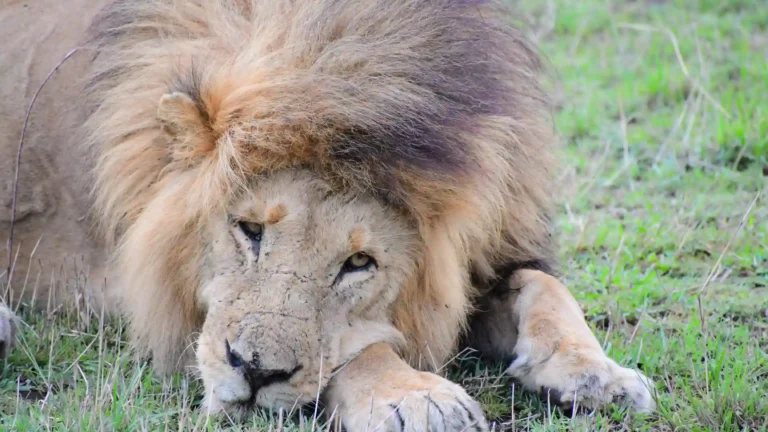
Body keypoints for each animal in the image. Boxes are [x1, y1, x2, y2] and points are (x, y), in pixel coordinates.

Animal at [1, 0, 656, 430]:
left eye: (360, 262)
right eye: (249, 230)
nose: (254, 373)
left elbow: (543, 286)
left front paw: (596, 374)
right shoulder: (135, 291)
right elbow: (360, 348)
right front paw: (420, 398)